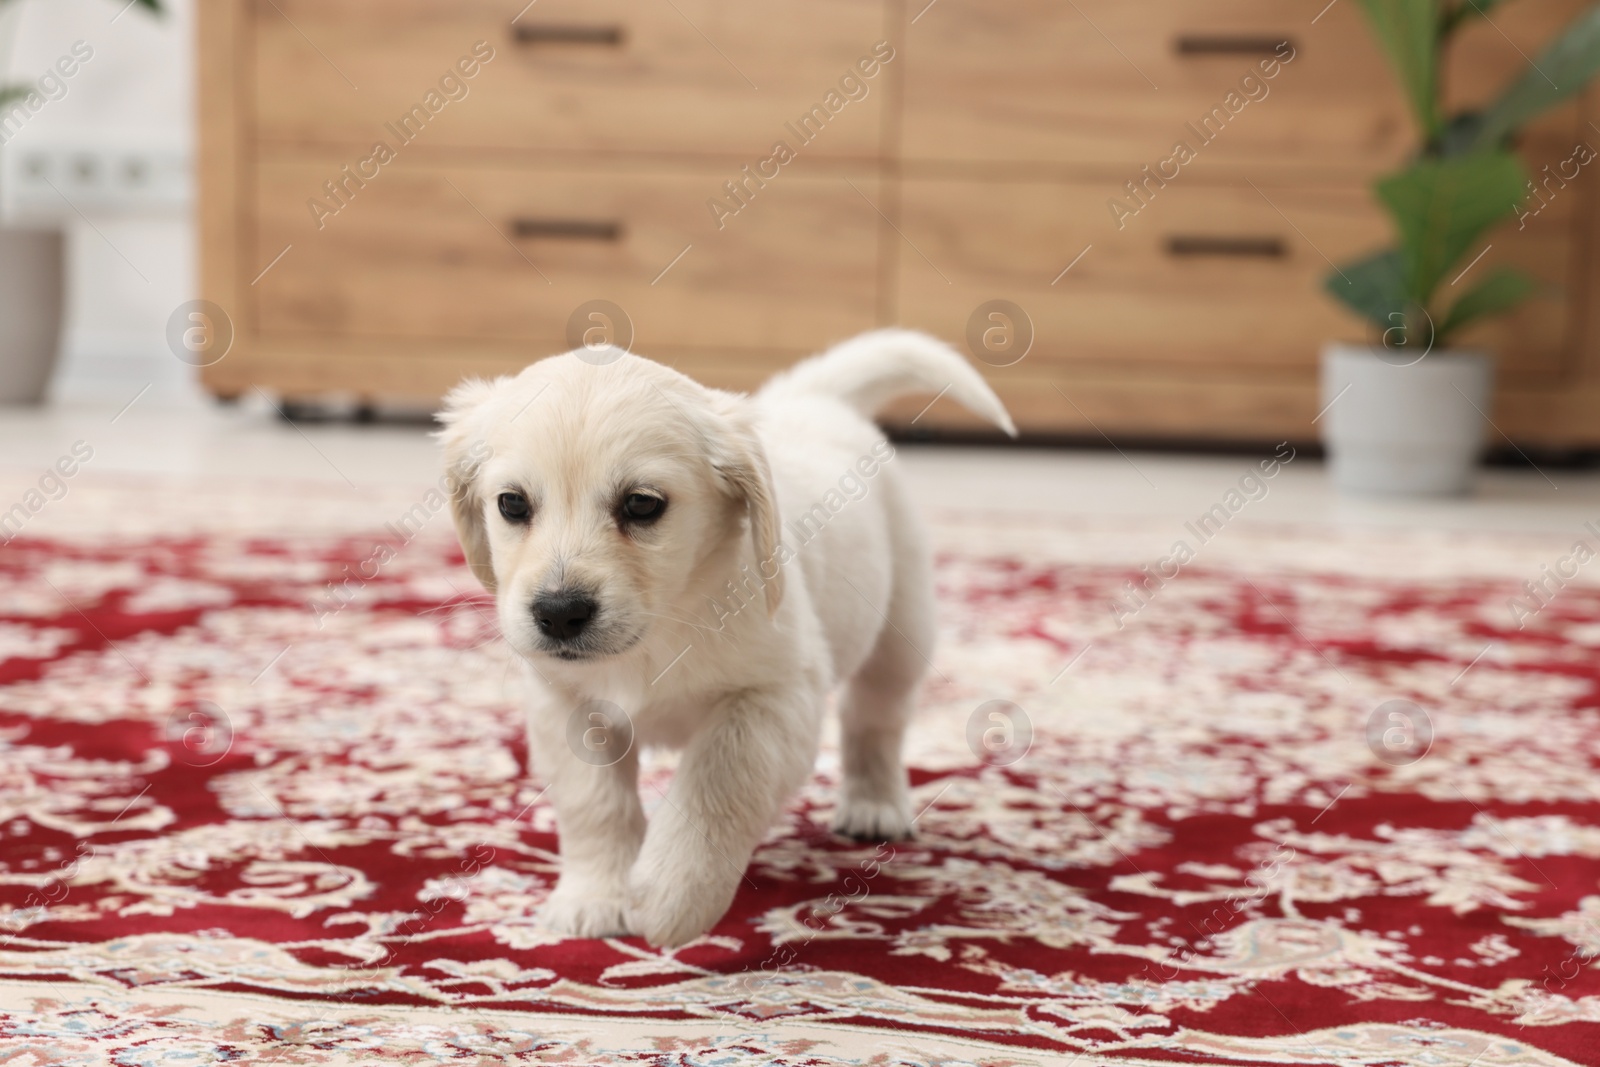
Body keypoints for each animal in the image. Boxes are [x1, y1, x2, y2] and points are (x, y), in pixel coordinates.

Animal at [438, 329, 1011, 947]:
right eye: (512, 504)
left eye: (642, 504)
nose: (560, 614)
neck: (665, 625)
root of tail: (814, 397)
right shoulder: (565, 702)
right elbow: (593, 804)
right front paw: (594, 897)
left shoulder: (775, 695)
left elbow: (718, 781)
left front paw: (674, 895)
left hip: (900, 630)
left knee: (875, 721)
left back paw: (874, 805)